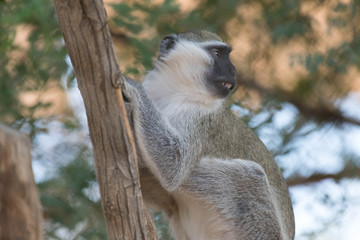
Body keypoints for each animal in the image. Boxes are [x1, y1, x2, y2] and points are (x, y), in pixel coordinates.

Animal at [122, 31, 294, 239]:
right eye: (217, 53)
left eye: (227, 56)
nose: (233, 70)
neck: (174, 92)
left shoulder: (201, 118)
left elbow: (174, 165)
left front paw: (132, 86)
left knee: (247, 175)